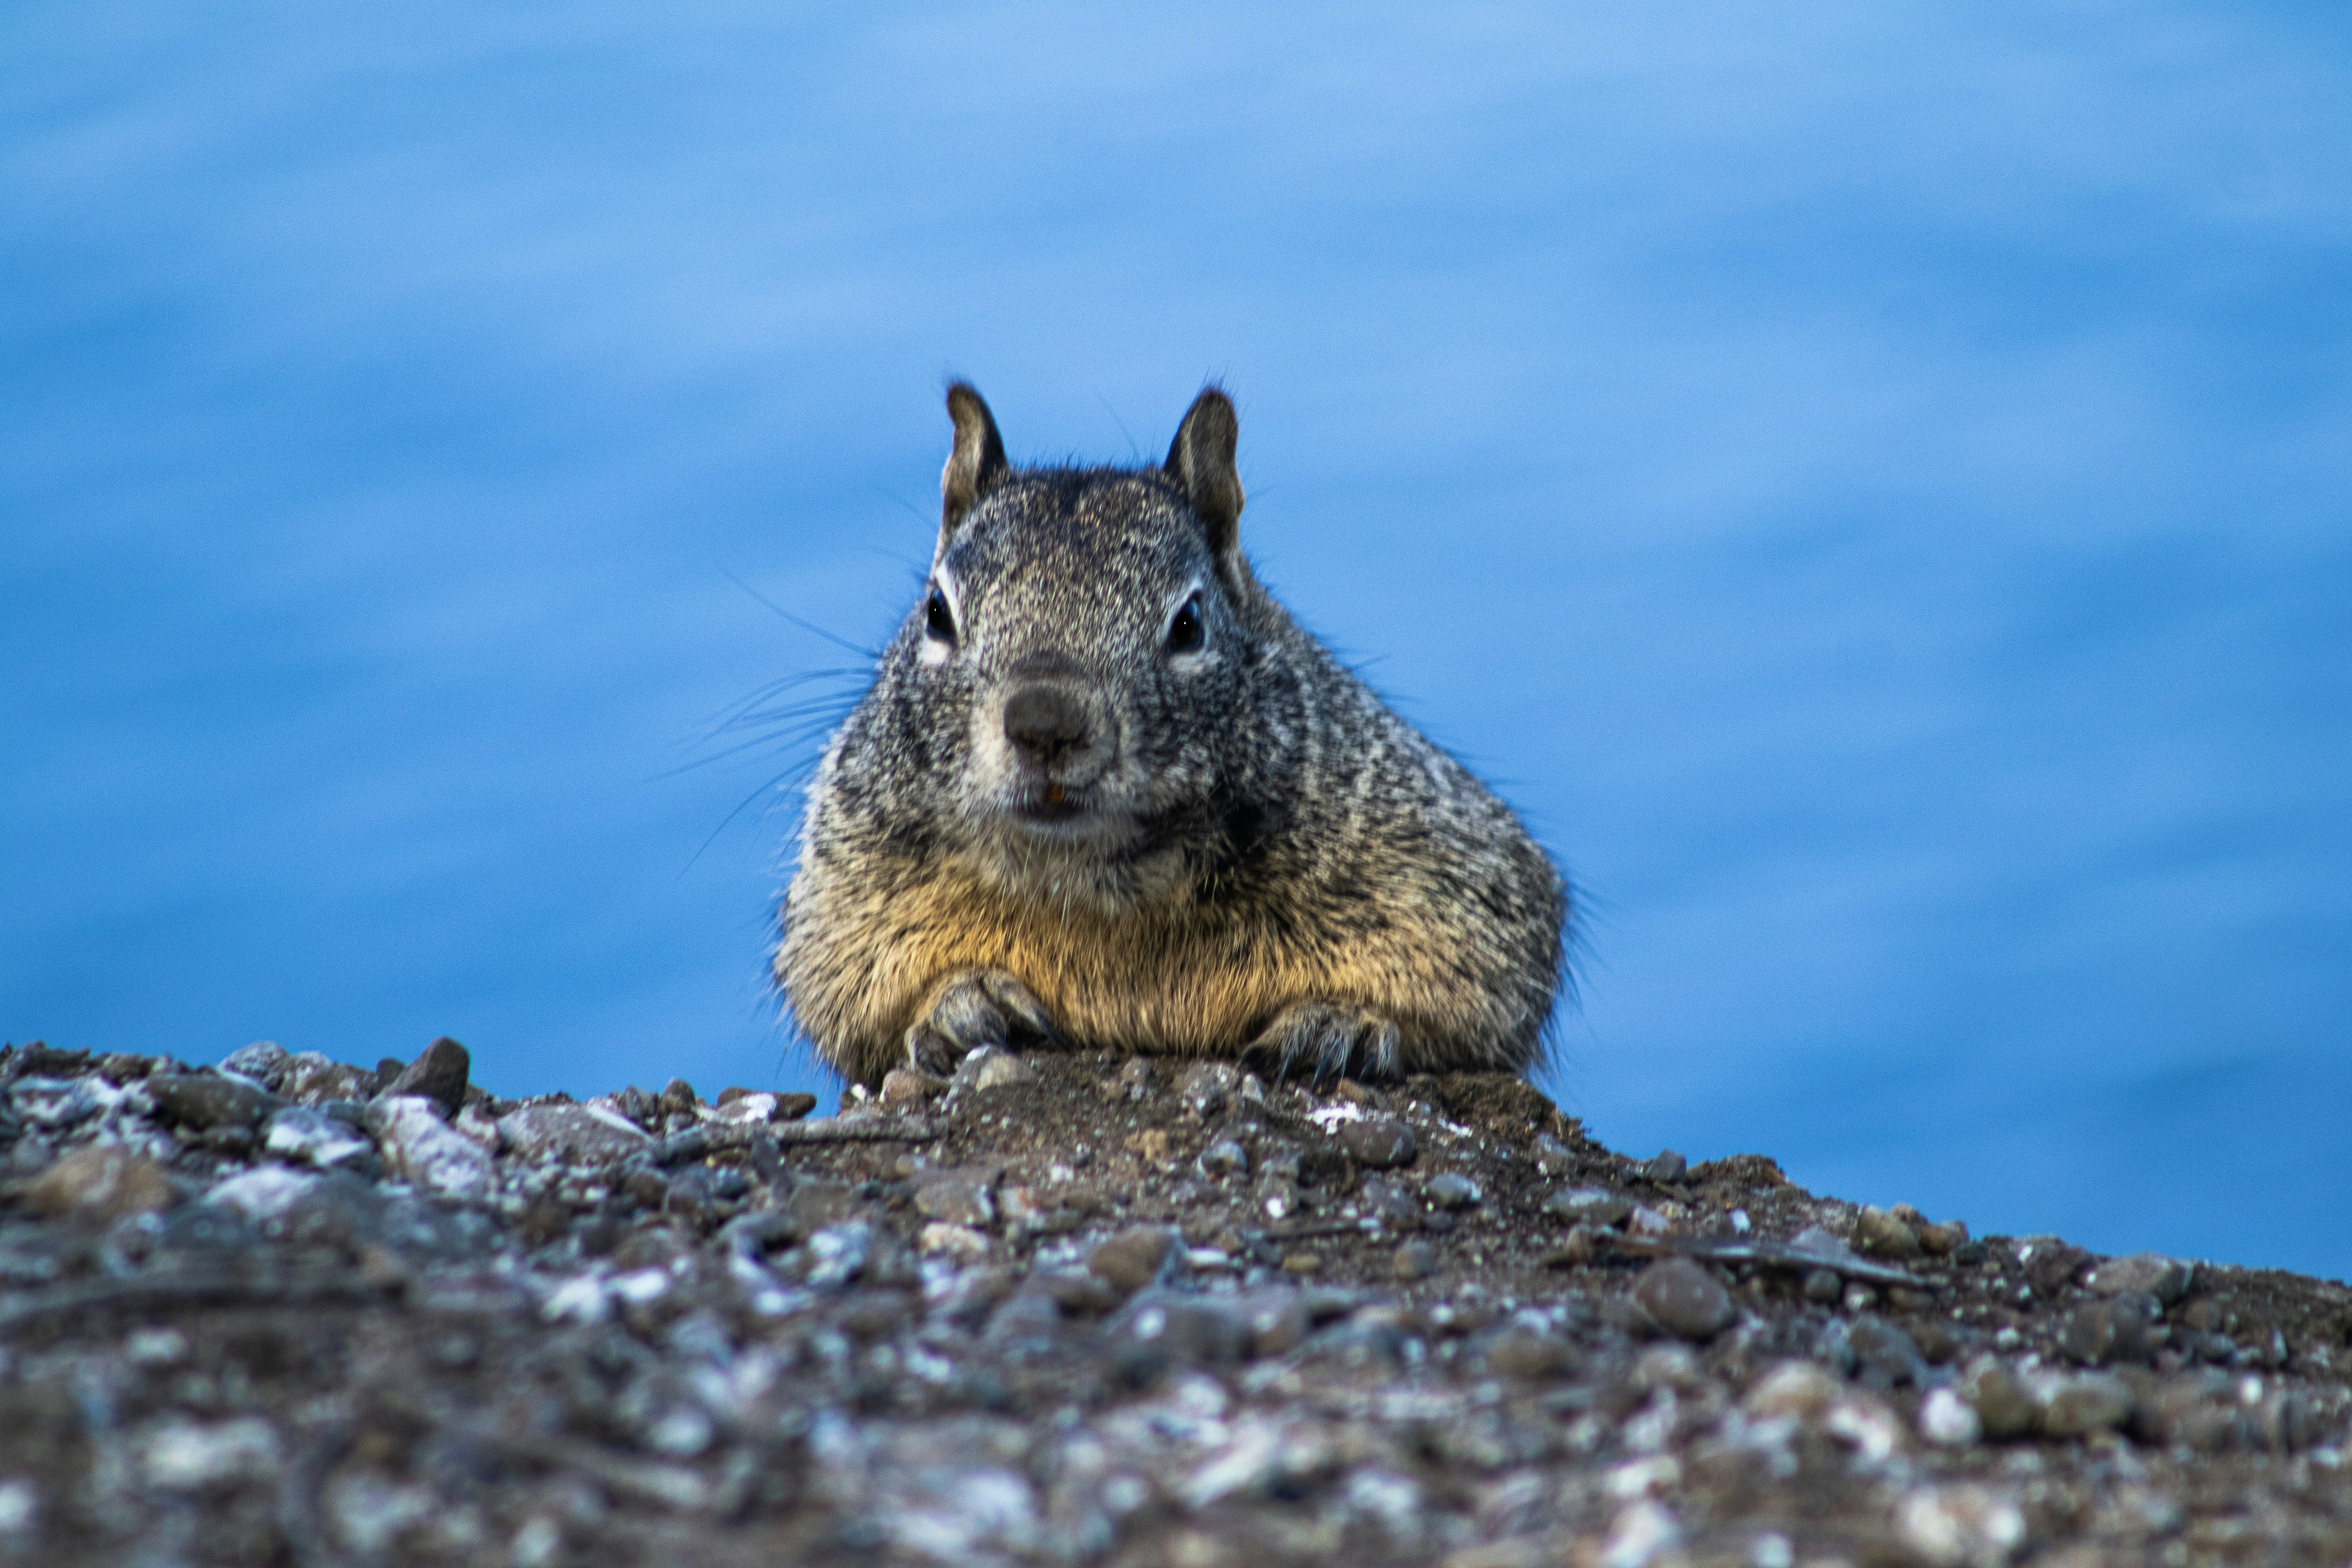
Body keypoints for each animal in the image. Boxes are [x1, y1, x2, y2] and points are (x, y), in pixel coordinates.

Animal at [776, 384, 1568, 1090]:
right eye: (937, 612)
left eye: (1189, 624)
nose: (1046, 723)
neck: (1092, 881)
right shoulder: (847, 878)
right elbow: (840, 991)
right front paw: (959, 1003)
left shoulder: (1444, 864)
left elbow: (1489, 985)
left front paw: (1340, 1022)